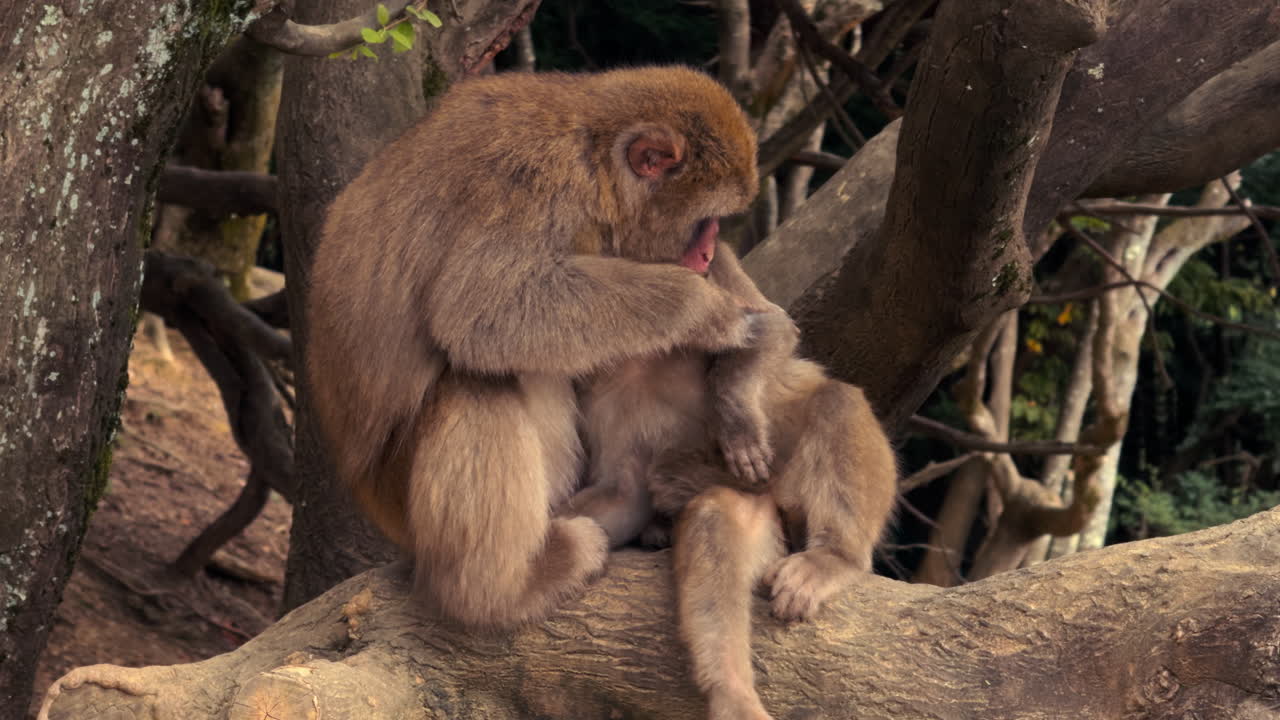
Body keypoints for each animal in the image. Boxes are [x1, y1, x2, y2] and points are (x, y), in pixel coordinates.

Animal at [306, 66, 764, 629]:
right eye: (705, 220)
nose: (706, 255)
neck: (593, 160)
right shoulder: (539, 182)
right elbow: (483, 310)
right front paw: (702, 310)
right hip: (402, 502)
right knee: (479, 380)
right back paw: (503, 589)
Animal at [574, 241, 897, 720]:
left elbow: (771, 329)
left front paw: (735, 407)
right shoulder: (609, 388)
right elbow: (625, 496)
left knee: (833, 402)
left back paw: (835, 558)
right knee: (716, 511)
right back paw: (729, 689)